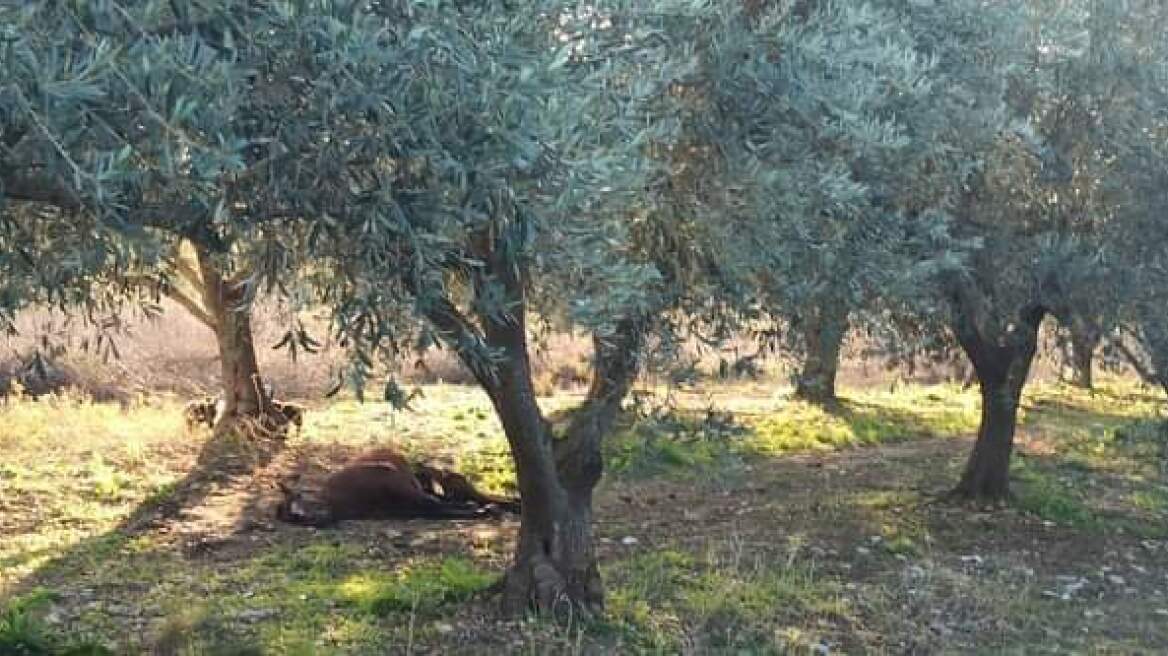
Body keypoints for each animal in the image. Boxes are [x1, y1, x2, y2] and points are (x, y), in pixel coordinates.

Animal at [275, 441, 518, 522]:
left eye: (297, 497)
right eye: (290, 518)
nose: (307, 517)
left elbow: (439, 503)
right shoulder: (406, 508)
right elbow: (440, 508)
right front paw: (482, 510)